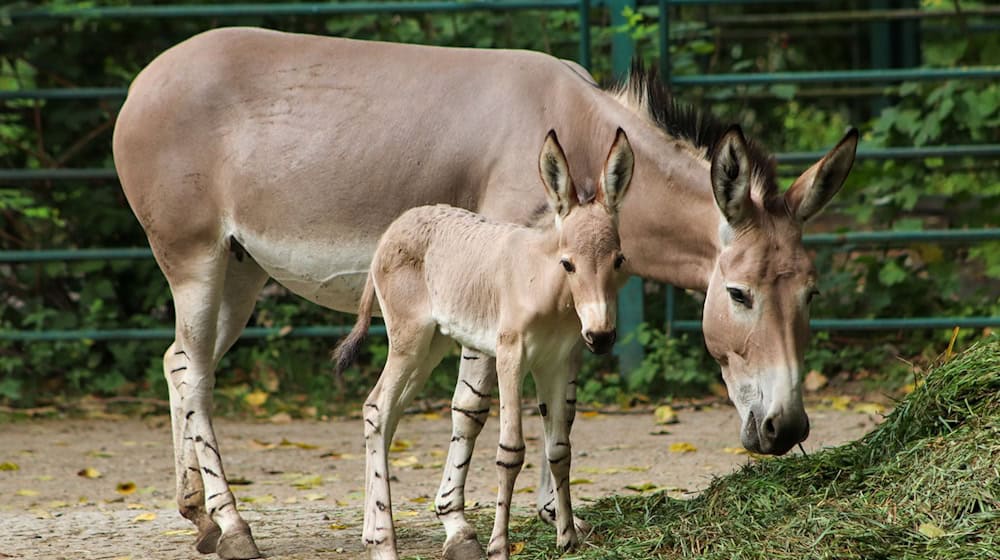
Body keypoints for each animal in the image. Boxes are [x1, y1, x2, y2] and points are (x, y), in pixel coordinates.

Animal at [336, 129, 632, 556]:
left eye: (618, 260)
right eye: (568, 264)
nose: (601, 336)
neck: (546, 287)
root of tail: (395, 227)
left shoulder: (556, 363)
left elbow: (559, 449)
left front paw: (567, 538)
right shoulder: (511, 356)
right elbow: (511, 452)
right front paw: (498, 547)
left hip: (431, 347)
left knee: (387, 414)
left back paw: (371, 531)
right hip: (409, 340)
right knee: (376, 407)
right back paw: (384, 542)